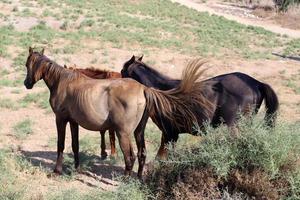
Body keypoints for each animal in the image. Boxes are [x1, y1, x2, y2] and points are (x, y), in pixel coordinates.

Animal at [23, 47, 211, 177]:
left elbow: (60, 145)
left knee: (130, 157)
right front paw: (76, 168)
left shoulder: (60, 119)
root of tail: (144, 89)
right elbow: (75, 145)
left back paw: (125, 179)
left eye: (26, 64)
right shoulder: (73, 121)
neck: (63, 82)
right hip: (138, 132)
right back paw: (138, 177)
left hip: (124, 134)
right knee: (141, 154)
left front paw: (57, 170)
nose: (27, 83)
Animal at [120, 55, 280, 159]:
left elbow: (162, 158)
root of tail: (257, 83)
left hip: (234, 126)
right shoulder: (173, 135)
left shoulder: (169, 133)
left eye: (123, 71)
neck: (163, 92)